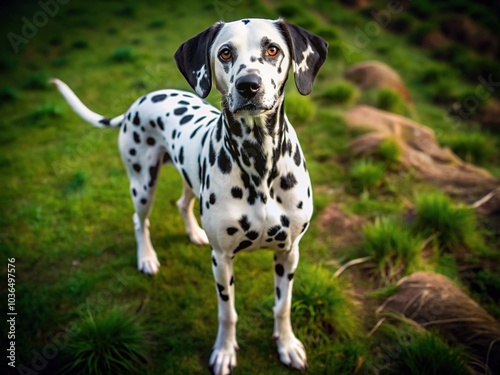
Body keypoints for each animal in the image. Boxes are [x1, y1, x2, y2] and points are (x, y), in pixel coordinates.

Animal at [52, 18, 328, 375]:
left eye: (272, 49)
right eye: (225, 53)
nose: (248, 85)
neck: (259, 159)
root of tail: (138, 102)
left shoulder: (288, 252)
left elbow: (283, 306)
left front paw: (287, 345)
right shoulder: (221, 260)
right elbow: (227, 312)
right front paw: (224, 351)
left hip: (188, 176)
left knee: (182, 204)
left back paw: (194, 233)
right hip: (142, 183)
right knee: (139, 221)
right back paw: (147, 258)